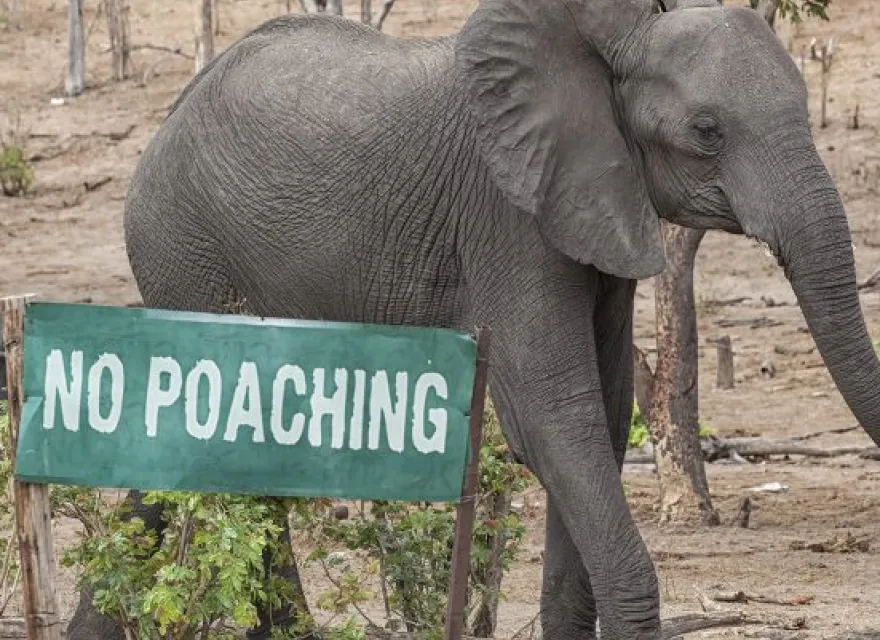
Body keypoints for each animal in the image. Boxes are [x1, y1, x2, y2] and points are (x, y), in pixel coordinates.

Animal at [70, 0, 880, 638]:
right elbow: (557, 416)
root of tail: (165, 122)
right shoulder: (507, 216)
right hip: (186, 251)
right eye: (708, 130)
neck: (608, 44)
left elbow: (604, 412)